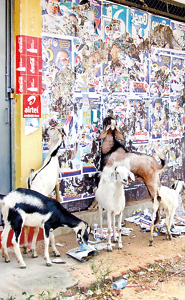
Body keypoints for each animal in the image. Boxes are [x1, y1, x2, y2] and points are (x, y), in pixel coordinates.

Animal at [24, 126, 65, 258]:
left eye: (53, 128)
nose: (46, 129)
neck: (52, 155)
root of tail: (31, 183)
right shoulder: (56, 182)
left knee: (26, 226)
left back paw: (25, 248)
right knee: (35, 228)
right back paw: (33, 250)